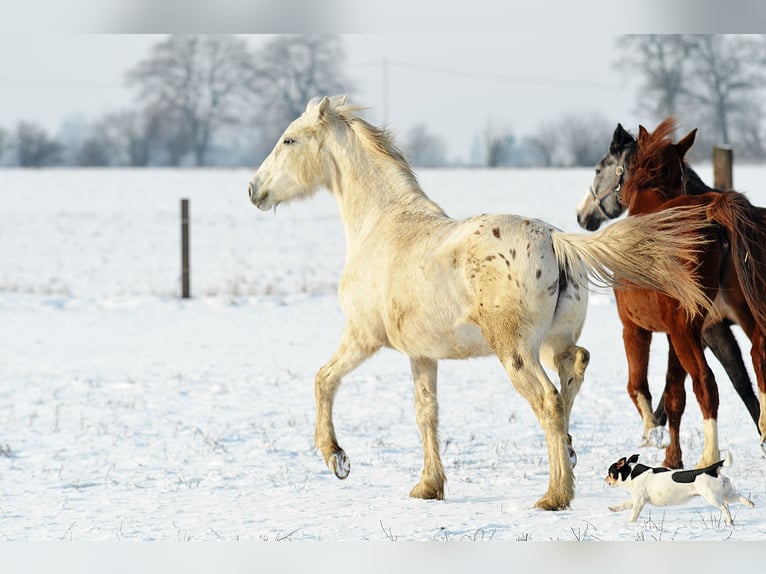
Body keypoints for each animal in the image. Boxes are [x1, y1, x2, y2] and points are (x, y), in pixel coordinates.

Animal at [249, 95, 716, 512]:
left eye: (289, 140)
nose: (254, 189)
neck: (382, 226)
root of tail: (556, 239)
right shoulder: (421, 355)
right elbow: (426, 413)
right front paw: (428, 486)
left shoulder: (363, 335)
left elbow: (323, 379)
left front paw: (337, 458)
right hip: (555, 342)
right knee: (575, 368)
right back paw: (568, 450)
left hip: (515, 351)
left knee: (548, 400)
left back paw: (554, 495)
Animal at [608, 452, 756, 528]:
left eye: (609, 472)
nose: (605, 480)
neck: (630, 473)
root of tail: (710, 469)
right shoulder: (637, 499)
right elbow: (625, 504)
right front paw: (613, 508)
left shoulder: (639, 501)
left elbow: (633, 514)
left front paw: (630, 523)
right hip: (727, 492)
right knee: (738, 497)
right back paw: (750, 504)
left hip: (712, 496)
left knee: (725, 507)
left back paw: (729, 522)